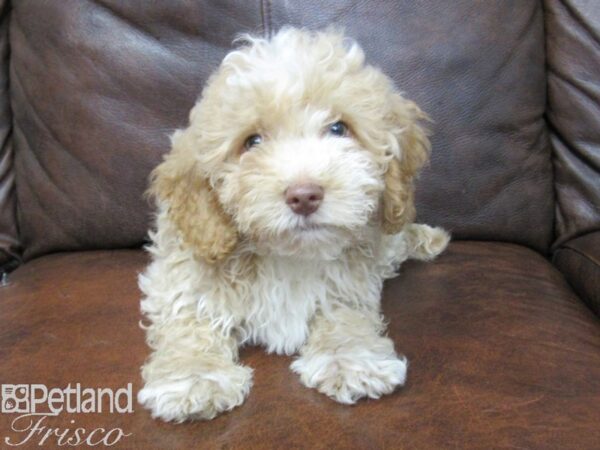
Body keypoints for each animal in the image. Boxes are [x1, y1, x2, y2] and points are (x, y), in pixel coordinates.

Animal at [138, 28, 448, 422]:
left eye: (339, 128)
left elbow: (345, 316)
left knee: (399, 237)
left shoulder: (348, 286)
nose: (304, 195)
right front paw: (195, 377)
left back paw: (429, 238)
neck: (288, 255)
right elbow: (188, 323)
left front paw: (351, 359)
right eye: (252, 141)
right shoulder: (182, 278)